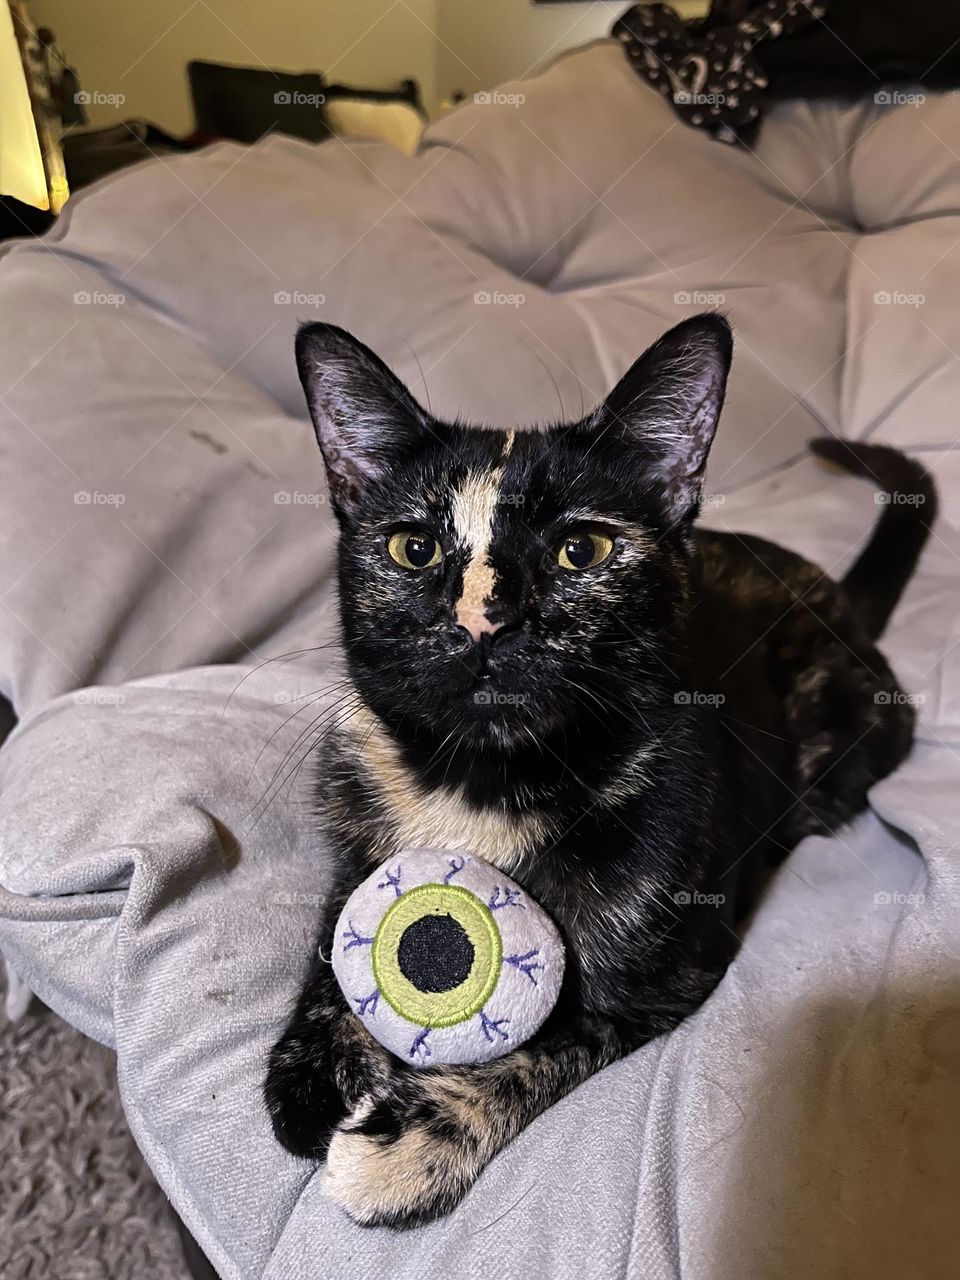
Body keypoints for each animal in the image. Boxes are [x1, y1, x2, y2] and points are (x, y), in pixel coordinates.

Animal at [263, 314, 931, 1223]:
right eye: (413, 547)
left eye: (582, 549)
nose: (484, 621)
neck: (481, 784)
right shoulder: (356, 815)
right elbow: (334, 935)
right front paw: (310, 1073)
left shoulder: (672, 972)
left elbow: (547, 1041)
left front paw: (399, 1146)